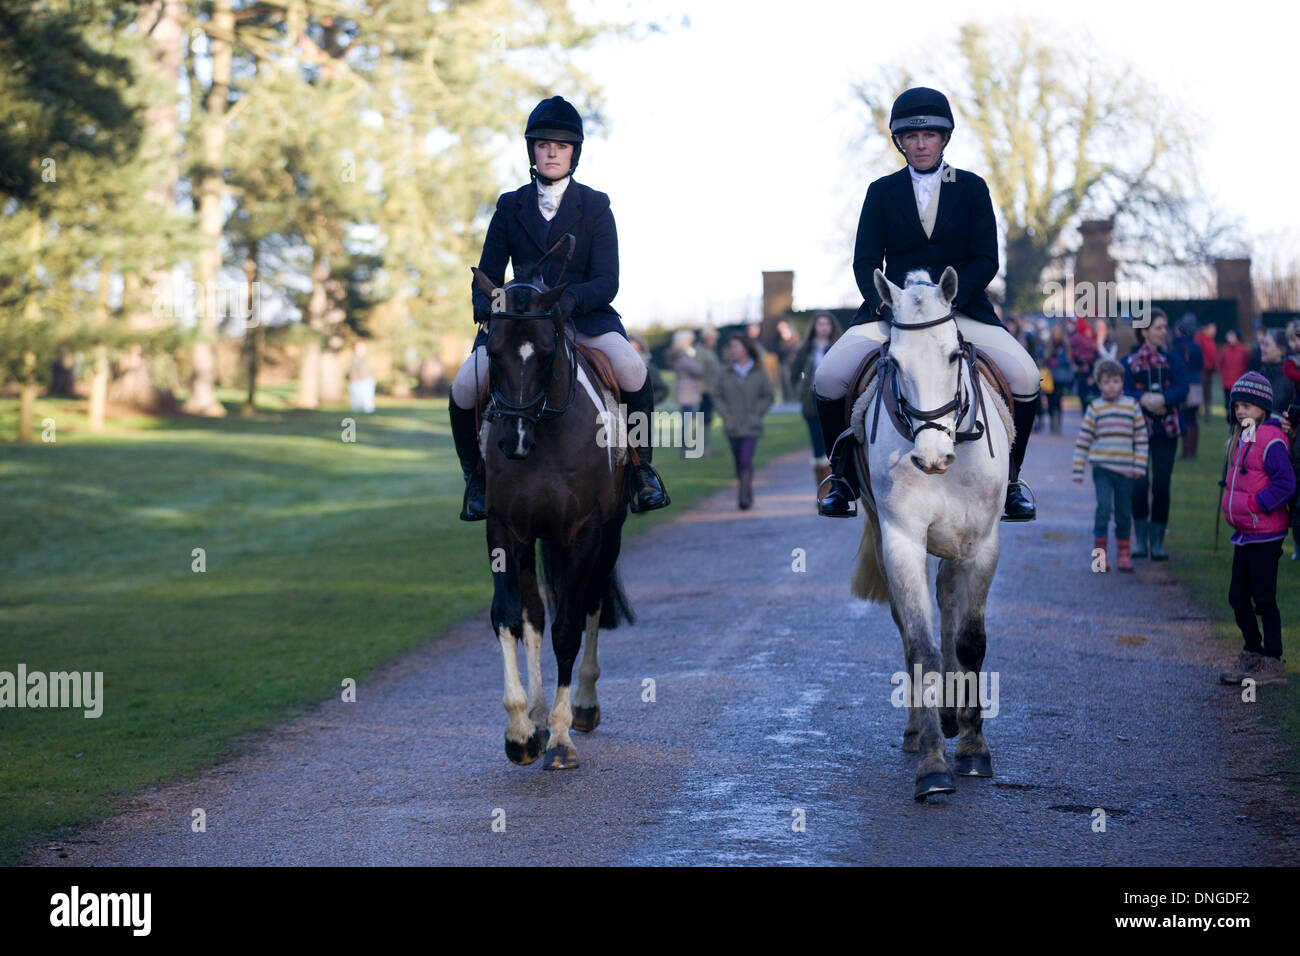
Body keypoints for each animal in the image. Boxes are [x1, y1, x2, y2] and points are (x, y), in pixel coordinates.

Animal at [470, 235, 637, 775]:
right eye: (493, 350)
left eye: (545, 351)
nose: (513, 442)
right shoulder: (504, 529)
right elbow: (511, 616)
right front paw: (523, 730)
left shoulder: (584, 532)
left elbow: (568, 627)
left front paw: (562, 738)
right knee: (535, 616)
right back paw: (541, 716)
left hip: (609, 535)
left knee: (590, 603)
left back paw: (581, 705)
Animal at [847, 265, 1008, 806]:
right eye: (894, 362)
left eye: (954, 355)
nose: (932, 457)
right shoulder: (901, 541)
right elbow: (921, 645)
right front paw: (934, 766)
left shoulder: (981, 544)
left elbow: (971, 641)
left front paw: (974, 749)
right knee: (915, 625)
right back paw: (924, 726)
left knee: (952, 611)